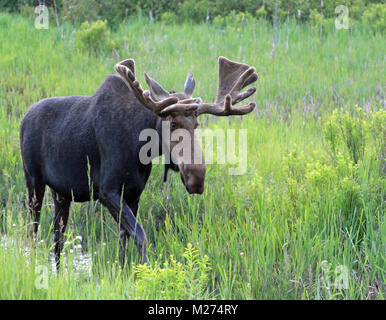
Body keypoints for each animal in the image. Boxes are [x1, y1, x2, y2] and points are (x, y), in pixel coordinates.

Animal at [19, 56, 258, 268]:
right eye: (172, 123)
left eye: (196, 124)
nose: (196, 177)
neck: (140, 145)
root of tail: (23, 119)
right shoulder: (107, 191)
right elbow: (140, 235)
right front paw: (145, 270)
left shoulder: (134, 194)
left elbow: (124, 241)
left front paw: (123, 272)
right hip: (33, 181)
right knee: (33, 231)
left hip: (61, 193)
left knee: (57, 238)